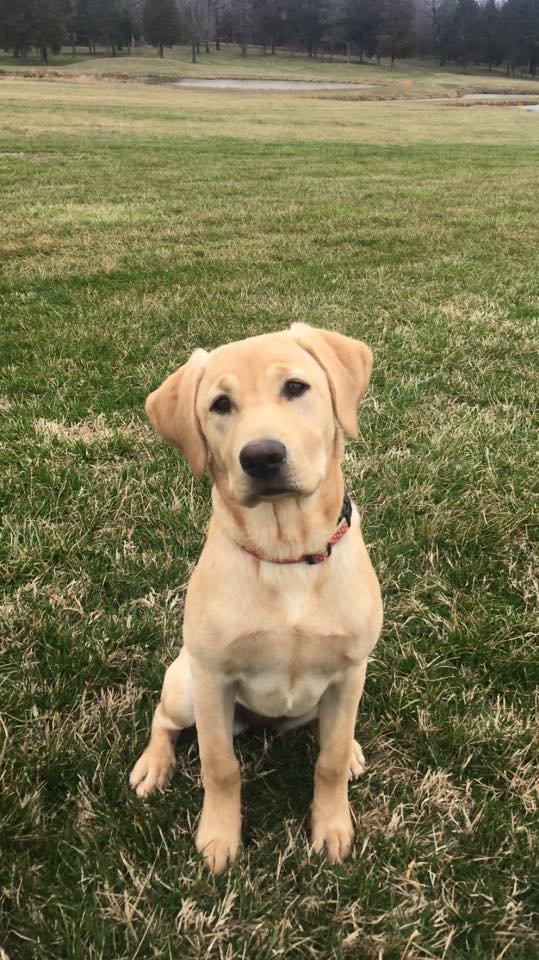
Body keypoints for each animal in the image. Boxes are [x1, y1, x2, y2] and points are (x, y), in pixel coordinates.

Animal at [131, 322, 384, 872]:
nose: (262, 456)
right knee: (164, 718)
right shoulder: (212, 679)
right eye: (221, 404)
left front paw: (332, 827)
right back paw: (153, 765)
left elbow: (330, 760)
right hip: (185, 685)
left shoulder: (350, 671)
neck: (286, 554)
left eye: (295, 387)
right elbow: (220, 766)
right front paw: (218, 837)